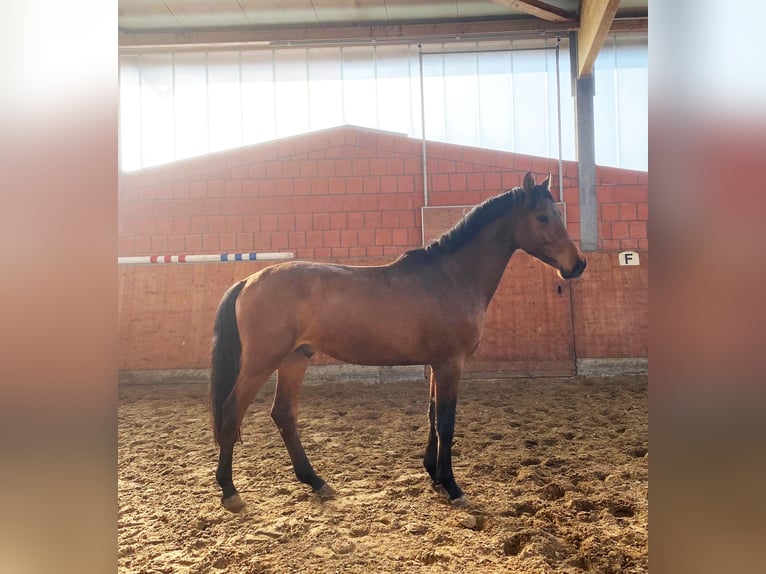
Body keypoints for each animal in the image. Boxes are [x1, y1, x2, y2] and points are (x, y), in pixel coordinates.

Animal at [209, 172, 586, 512]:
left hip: (295, 358)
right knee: (231, 412)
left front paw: (434, 475)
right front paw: (452, 486)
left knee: (284, 414)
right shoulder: (451, 363)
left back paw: (316, 481)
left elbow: (432, 415)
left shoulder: (438, 363)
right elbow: (446, 422)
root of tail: (248, 281)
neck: (451, 277)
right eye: (542, 217)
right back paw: (230, 491)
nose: (578, 264)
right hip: (261, 362)